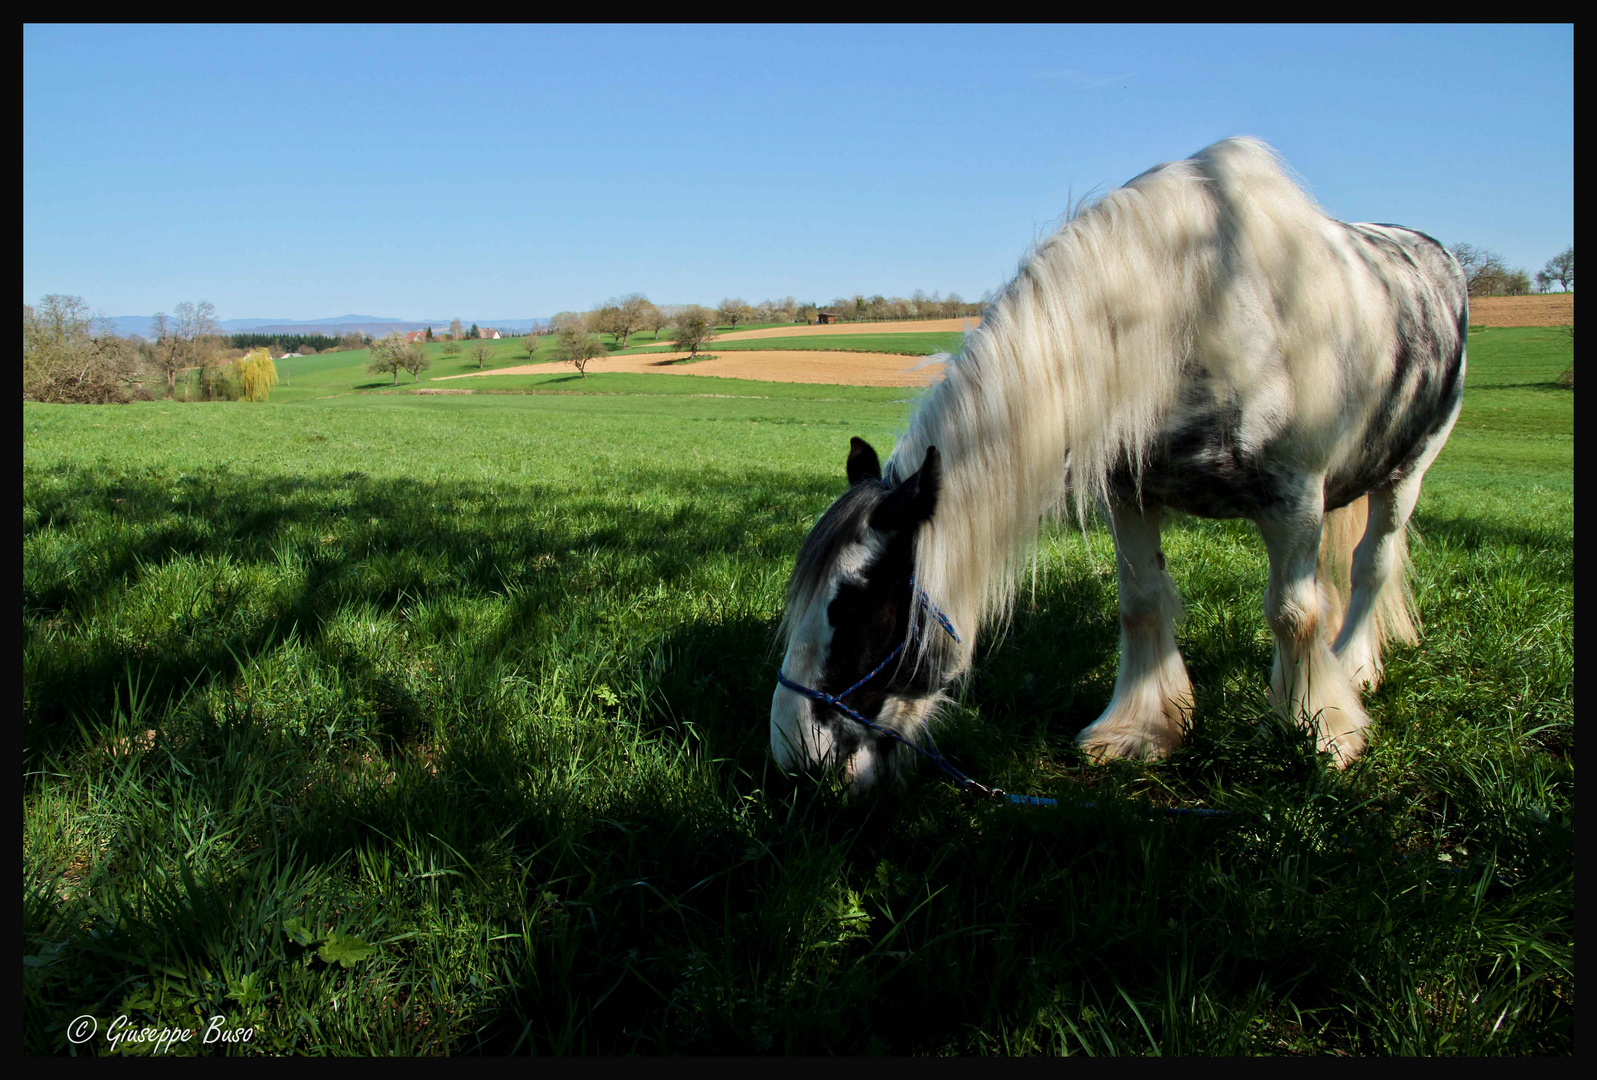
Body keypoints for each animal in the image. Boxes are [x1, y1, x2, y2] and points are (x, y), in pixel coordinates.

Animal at [766, 138, 1462, 789]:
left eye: (862, 609)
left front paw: (1320, 733)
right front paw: (1141, 731)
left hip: (1406, 476)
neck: (1197, 316)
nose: (793, 757)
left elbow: (1295, 614)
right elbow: (1143, 603)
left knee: (1371, 565)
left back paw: (1357, 665)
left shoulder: (1292, 499)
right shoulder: (1132, 495)